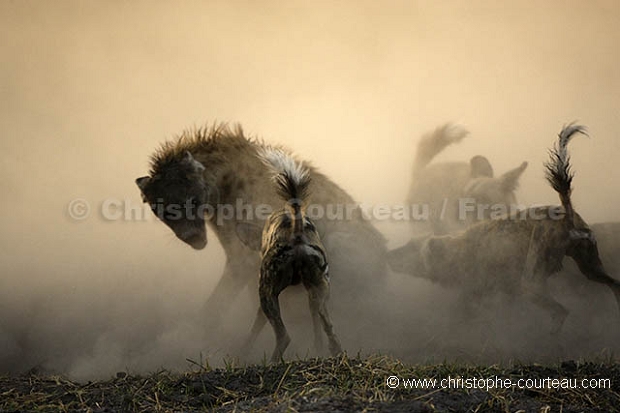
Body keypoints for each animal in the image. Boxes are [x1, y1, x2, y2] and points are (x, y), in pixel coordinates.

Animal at [136, 124, 388, 330]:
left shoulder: (248, 252)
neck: (223, 187)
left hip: (340, 246)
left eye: (193, 201)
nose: (193, 238)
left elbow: (220, 299)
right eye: (162, 210)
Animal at [237, 148, 344, 360]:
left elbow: (254, 330)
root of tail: (297, 231)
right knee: (327, 327)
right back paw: (335, 351)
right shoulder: (313, 294)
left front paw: (242, 353)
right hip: (320, 291)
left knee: (284, 337)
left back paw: (273, 362)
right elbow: (319, 327)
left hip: (267, 295)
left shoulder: (265, 298)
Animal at [390, 124, 620, 334]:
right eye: (460, 199)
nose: (388, 254)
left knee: (561, 311)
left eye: (480, 201)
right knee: (613, 287)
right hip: (591, 270)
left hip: (531, 284)